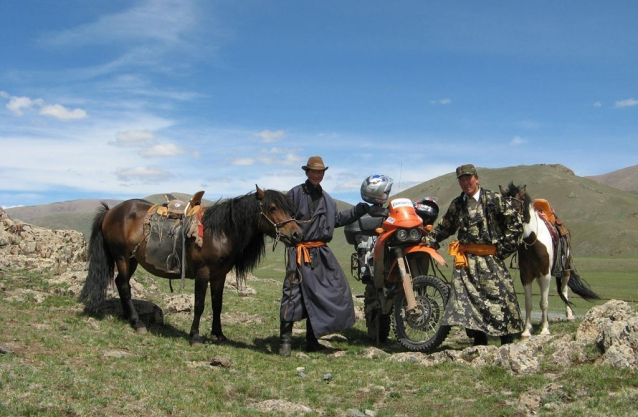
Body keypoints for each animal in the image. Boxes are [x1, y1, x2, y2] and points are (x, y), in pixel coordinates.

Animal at [79, 187, 304, 342]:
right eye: (272, 208)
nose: (296, 234)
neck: (220, 232)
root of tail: (110, 212)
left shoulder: (220, 275)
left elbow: (217, 304)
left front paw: (218, 334)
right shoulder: (203, 274)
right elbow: (199, 304)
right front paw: (195, 335)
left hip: (132, 259)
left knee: (119, 283)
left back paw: (129, 317)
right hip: (122, 258)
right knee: (125, 286)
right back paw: (137, 322)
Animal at [502, 182, 604, 338]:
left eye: (517, 208)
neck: (532, 241)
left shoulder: (545, 274)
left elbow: (544, 303)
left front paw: (545, 330)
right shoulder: (526, 275)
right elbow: (528, 303)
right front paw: (526, 331)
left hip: (565, 270)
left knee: (564, 289)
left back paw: (569, 316)